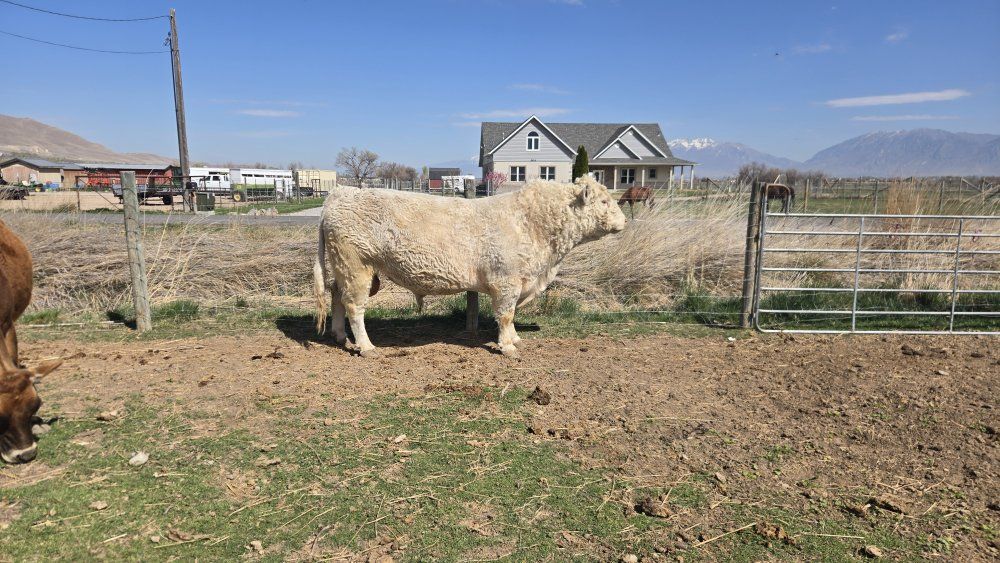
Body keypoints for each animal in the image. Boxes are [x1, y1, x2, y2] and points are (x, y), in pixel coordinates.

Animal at [314, 176, 627, 358]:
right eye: (604, 201)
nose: (624, 221)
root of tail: (339, 194)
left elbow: (511, 316)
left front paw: (515, 339)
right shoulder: (506, 280)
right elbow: (505, 314)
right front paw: (508, 347)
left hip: (345, 267)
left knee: (337, 296)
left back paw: (340, 336)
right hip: (356, 266)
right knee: (354, 306)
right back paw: (366, 347)